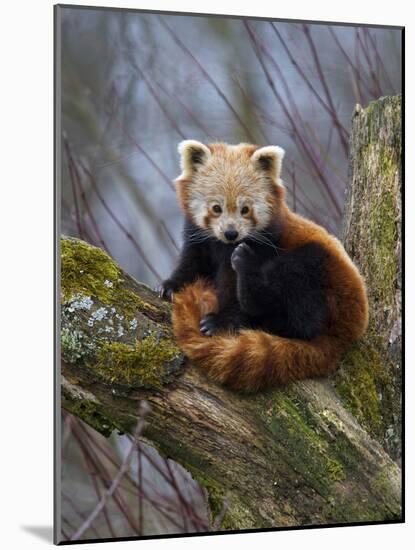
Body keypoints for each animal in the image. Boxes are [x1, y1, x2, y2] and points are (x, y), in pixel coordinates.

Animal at [161, 142, 368, 392]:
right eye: (216, 208)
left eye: (245, 209)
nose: (231, 233)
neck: (225, 247)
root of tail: (347, 332)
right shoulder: (199, 239)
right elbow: (192, 263)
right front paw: (171, 286)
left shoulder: (266, 244)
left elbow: (232, 289)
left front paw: (220, 321)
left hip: (326, 276)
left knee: (301, 308)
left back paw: (249, 282)